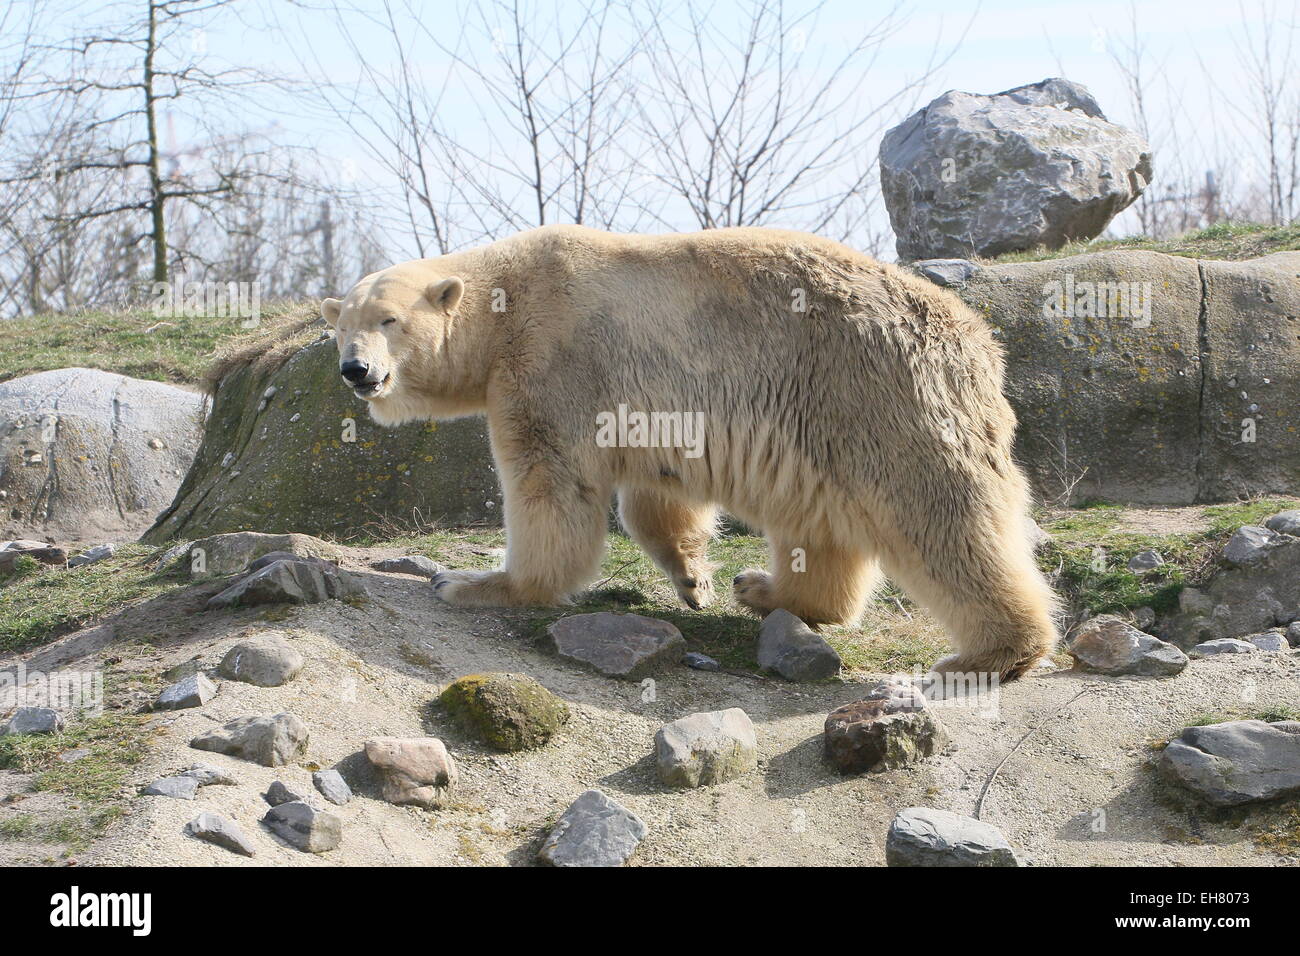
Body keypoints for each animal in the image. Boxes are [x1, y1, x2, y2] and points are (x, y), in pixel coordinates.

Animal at [322, 226, 1055, 681]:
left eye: (388, 320)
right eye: (341, 325)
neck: (504, 301)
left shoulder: (552, 364)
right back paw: (764, 589)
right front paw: (694, 577)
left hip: (878, 395)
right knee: (819, 526)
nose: (356, 371)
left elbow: (550, 485)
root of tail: (978, 340)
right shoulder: (646, 407)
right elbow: (655, 496)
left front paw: (475, 583)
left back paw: (992, 654)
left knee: (941, 516)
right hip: (826, 421)